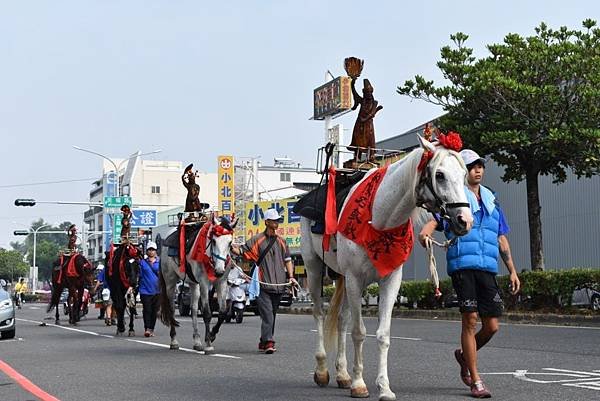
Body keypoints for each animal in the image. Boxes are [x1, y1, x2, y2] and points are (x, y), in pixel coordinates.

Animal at [158, 214, 238, 352]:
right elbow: (207, 313)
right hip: (170, 281)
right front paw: (209, 345)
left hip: (193, 284)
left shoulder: (221, 282)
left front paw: (211, 335)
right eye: (214, 241)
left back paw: (197, 341)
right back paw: (174, 341)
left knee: (194, 309)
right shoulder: (204, 283)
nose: (219, 270)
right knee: (172, 309)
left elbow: (222, 312)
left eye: (229, 242)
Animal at [300, 136, 474, 398]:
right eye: (440, 175)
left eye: (464, 175)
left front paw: (384, 387)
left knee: (341, 320)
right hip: (313, 268)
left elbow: (382, 334)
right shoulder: (355, 278)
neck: (379, 219)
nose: (465, 220)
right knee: (319, 313)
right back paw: (322, 370)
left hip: (341, 277)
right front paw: (359, 384)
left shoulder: (390, 280)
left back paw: (342, 374)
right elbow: (359, 332)